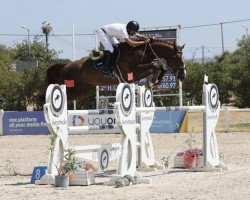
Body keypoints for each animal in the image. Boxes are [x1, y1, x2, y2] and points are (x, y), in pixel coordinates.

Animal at [47, 38, 186, 101]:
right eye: (177, 57)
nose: (183, 75)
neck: (140, 52)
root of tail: (64, 66)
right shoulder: (130, 74)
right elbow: (155, 66)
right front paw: (152, 81)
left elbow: (159, 67)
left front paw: (154, 81)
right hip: (73, 89)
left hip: (84, 91)